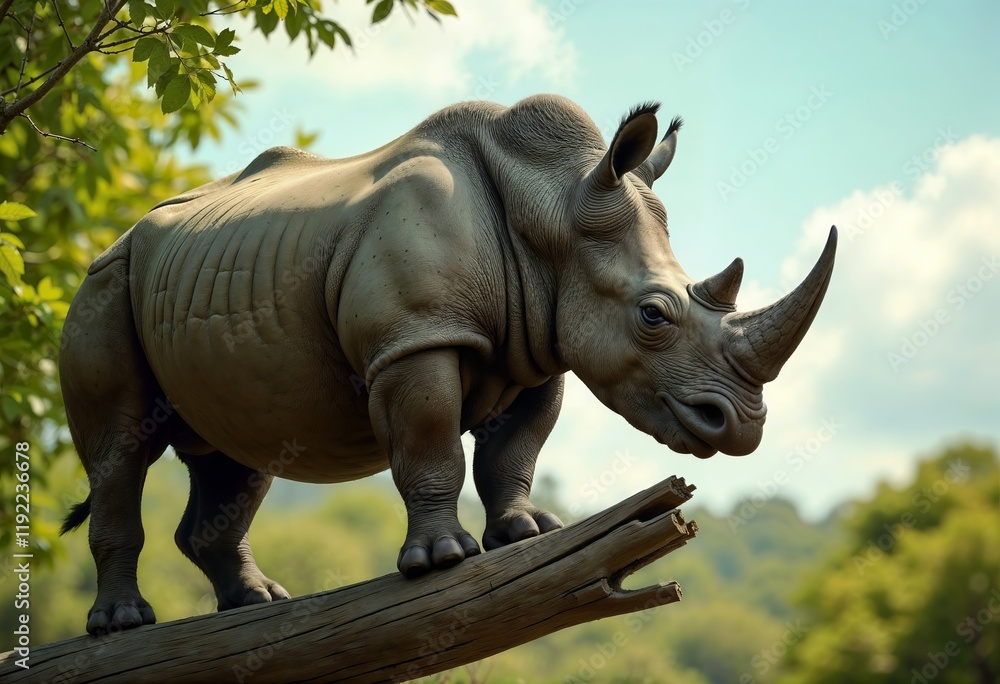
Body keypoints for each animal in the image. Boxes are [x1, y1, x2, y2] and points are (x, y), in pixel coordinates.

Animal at [60, 94, 836, 635]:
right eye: (653, 315)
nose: (742, 427)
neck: (551, 206)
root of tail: (121, 237)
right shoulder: (417, 338)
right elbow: (430, 443)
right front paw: (445, 559)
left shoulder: (539, 349)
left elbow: (514, 451)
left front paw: (528, 533)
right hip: (103, 285)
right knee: (120, 448)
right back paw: (124, 626)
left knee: (238, 452)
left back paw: (256, 604)